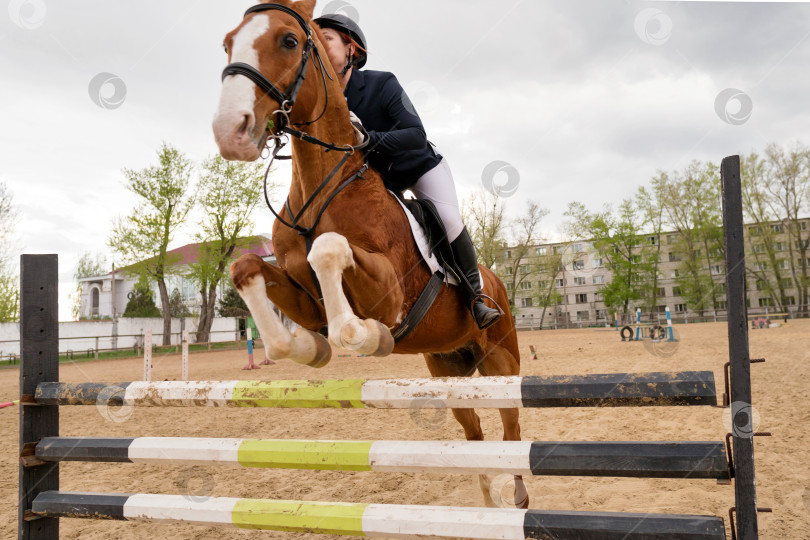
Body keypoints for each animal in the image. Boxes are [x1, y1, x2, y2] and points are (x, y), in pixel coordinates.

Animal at [210, 0, 524, 508]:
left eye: (289, 41)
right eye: (227, 43)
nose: (229, 131)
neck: (321, 188)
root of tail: (494, 280)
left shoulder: (389, 292)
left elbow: (329, 249)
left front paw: (361, 335)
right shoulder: (303, 297)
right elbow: (247, 268)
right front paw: (306, 346)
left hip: (501, 361)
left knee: (512, 429)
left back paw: (517, 495)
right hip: (448, 368)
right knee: (474, 432)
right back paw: (489, 497)